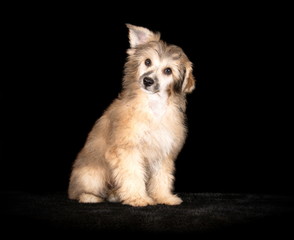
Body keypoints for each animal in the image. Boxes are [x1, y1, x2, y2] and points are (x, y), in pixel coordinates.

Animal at [68, 24, 195, 208]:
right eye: (147, 62)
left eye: (168, 71)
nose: (148, 81)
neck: (152, 106)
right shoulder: (128, 150)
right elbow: (133, 175)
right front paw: (138, 198)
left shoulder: (162, 152)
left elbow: (162, 178)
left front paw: (163, 197)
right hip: (92, 175)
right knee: (80, 191)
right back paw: (90, 197)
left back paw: (115, 195)